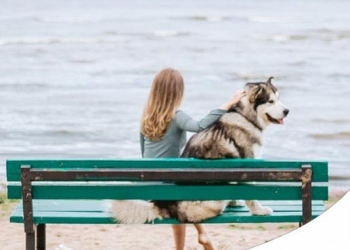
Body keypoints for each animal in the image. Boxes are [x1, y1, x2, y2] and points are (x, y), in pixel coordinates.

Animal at [110, 76, 288, 225]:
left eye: (279, 99)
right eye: (271, 101)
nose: (287, 111)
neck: (246, 117)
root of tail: (166, 205)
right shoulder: (248, 164)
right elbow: (251, 195)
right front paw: (259, 211)